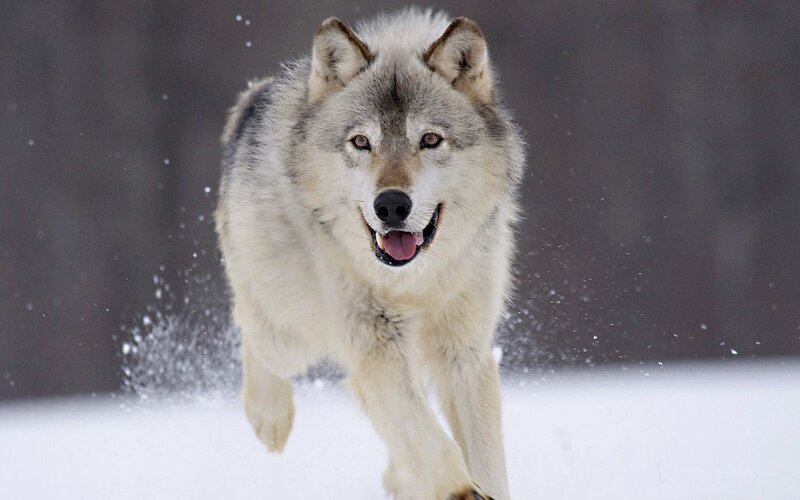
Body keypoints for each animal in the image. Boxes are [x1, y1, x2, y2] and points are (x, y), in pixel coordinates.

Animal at [215, 8, 524, 500]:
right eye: (361, 142)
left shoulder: (464, 351)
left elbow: (483, 454)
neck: (414, 282)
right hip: (291, 334)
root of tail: (253, 98)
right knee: (251, 328)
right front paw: (459, 489)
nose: (392, 205)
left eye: (430, 140)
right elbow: (429, 438)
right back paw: (270, 419)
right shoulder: (375, 342)